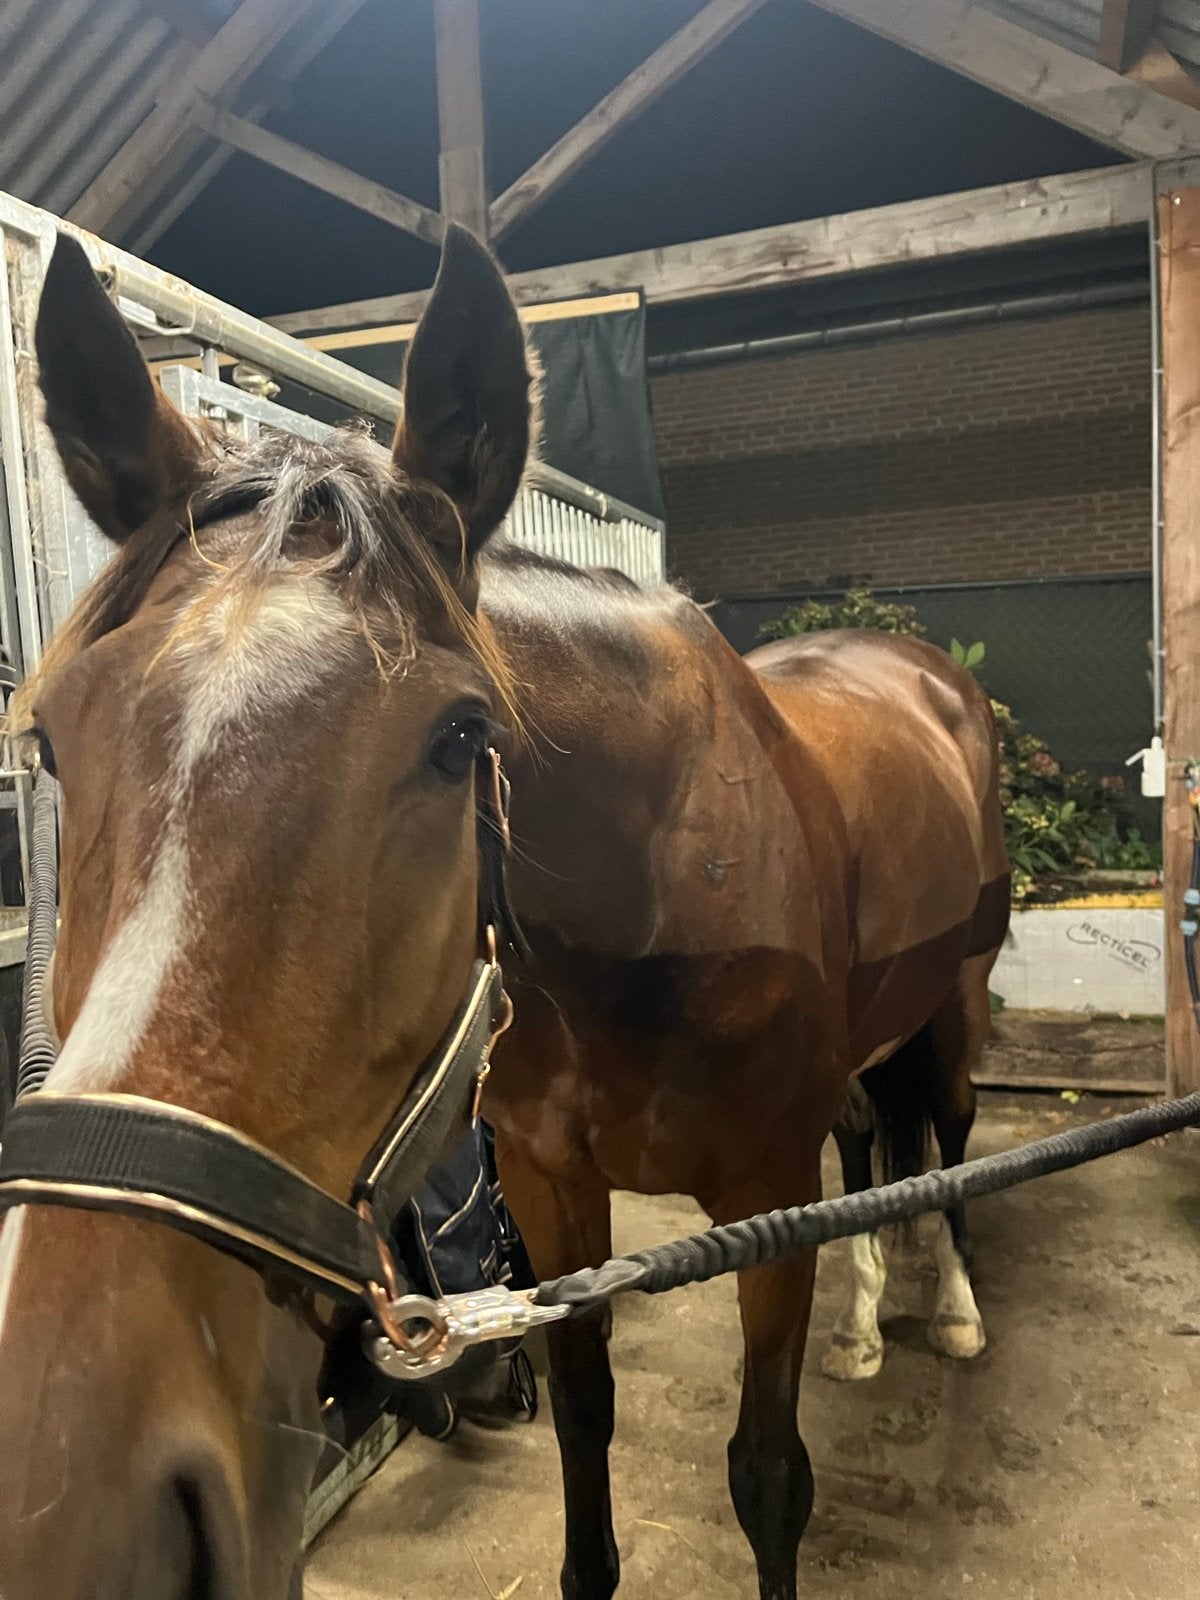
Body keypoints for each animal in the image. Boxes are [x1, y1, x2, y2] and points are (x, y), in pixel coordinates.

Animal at [0, 222, 1008, 1600]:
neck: (654, 904)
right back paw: (865, 1323)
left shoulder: (763, 1201)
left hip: (954, 1002)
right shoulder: (548, 1189)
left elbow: (768, 1474)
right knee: (870, 1143)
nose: (83, 1507)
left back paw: (952, 1311)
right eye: (52, 738)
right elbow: (585, 1426)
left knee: (946, 1142)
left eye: (462, 736)